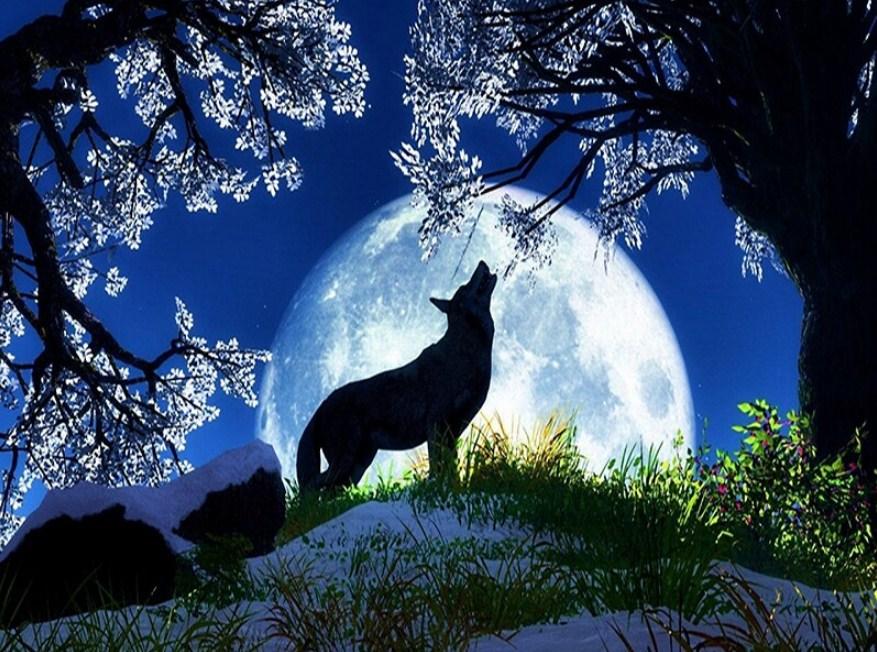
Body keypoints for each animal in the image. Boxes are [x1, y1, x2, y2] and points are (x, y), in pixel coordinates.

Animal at [296, 260, 497, 490]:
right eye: (464, 286)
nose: (482, 262)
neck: (467, 349)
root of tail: (319, 408)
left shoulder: (452, 431)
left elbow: (451, 468)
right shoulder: (436, 425)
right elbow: (438, 468)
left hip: (358, 465)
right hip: (346, 460)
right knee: (313, 484)